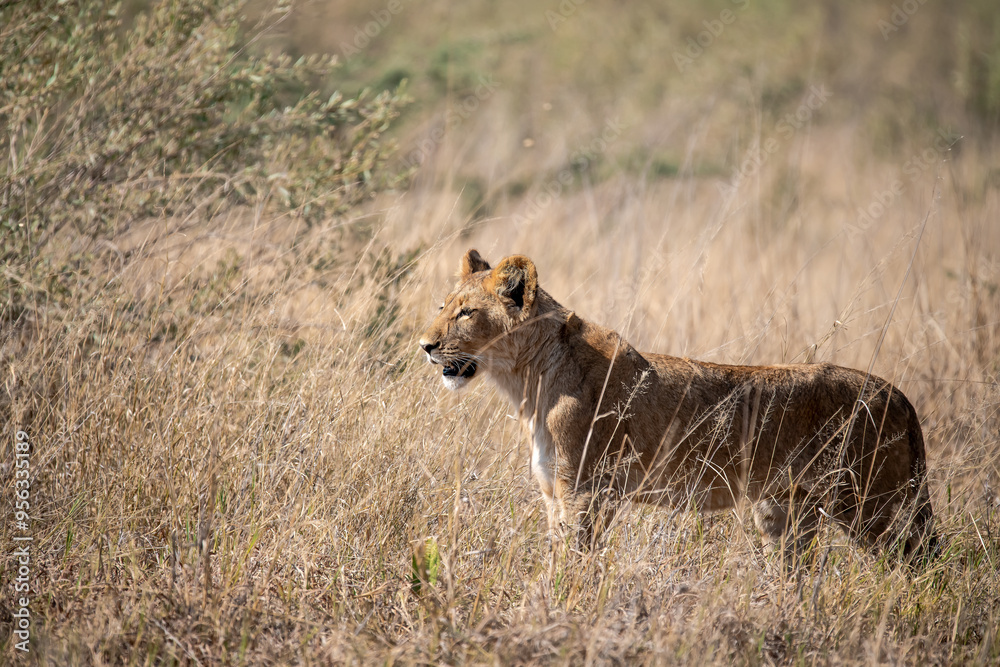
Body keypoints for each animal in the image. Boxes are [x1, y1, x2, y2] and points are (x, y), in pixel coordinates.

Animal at [419, 249, 936, 563]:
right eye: (443, 306)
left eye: (466, 313)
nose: (425, 345)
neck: (528, 380)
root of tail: (897, 394)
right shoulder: (554, 490)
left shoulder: (588, 491)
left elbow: (575, 562)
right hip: (786, 511)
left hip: (872, 507)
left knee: (918, 566)